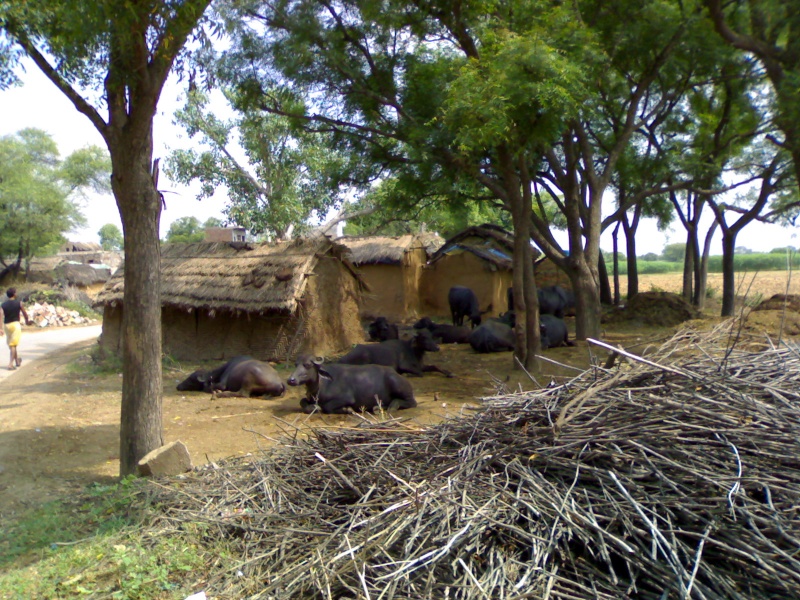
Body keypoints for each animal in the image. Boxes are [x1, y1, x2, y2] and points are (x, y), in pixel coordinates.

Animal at [288, 354, 416, 414]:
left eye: (307, 365)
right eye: (296, 364)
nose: (291, 380)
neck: (322, 384)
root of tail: (395, 373)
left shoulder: (346, 398)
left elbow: (327, 406)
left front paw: (347, 409)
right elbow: (302, 402)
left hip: (396, 383)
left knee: (411, 402)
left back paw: (393, 406)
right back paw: (378, 408)